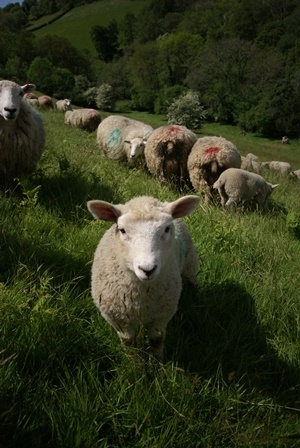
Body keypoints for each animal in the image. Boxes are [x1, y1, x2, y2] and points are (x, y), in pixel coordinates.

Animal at [86, 194, 199, 358]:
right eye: (122, 230)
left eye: (166, 229)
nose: (147, 269)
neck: (141, 301)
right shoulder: (117, 319)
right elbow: (129, 342)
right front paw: (133, 361)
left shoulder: (162, 315)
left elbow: (156, 340)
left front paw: (158, 362)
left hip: (190, 266)